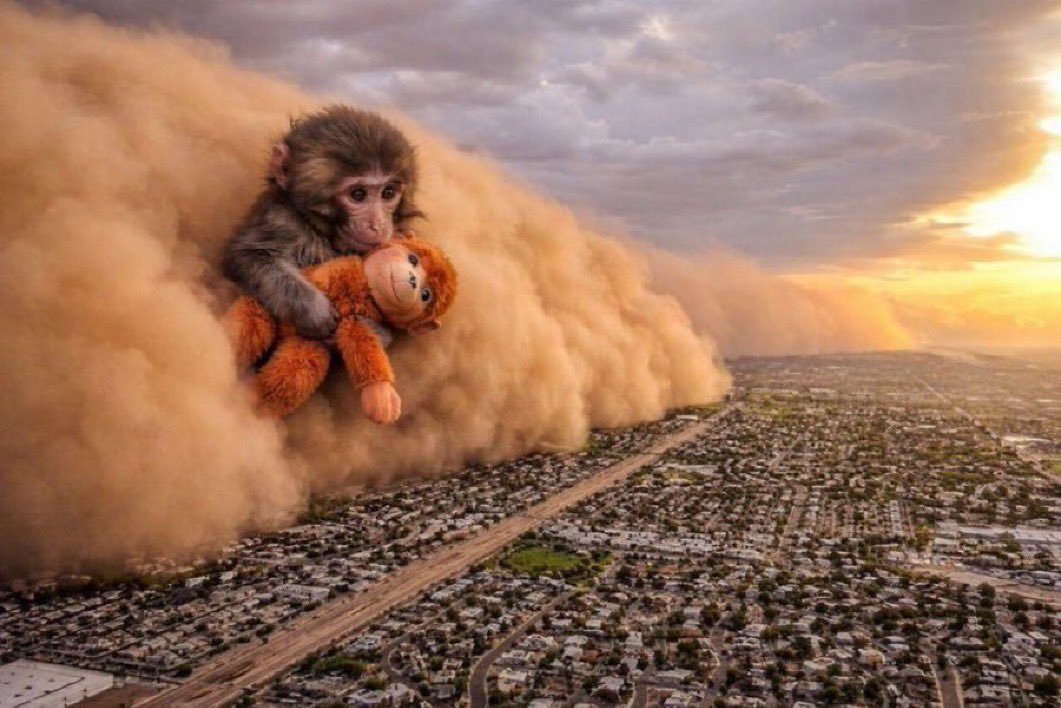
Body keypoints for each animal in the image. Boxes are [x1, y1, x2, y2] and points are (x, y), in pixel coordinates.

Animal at [222, 105, 422, 341]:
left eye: (388, 193)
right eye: (358, 194)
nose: (378, 226)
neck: (322, 233)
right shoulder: (280, 220)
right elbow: (247, 256)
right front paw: (312, 307)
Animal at [223, 236, 457, 423]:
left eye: (426, 295)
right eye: (413, 259)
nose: (412, 280)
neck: (368, 291)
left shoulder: (361, 319)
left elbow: (361, 340)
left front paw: (380, 395)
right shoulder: (341, 266)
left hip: (300, 350)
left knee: (298, 367)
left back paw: (253, 403)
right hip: (264, 310)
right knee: (252, 317)